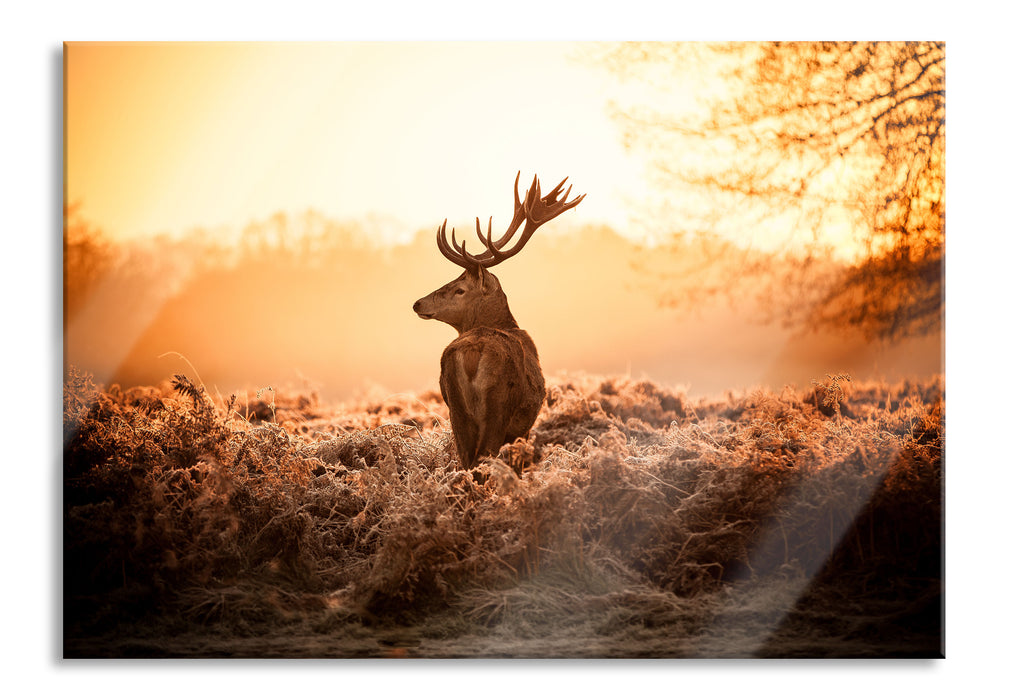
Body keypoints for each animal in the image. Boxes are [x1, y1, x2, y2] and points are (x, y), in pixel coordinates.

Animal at [411, 172, 585, 480]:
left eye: (459, 289)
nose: (418, 303)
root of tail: (472, 352)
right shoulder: (523, 427)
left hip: (456, 409)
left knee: (467, 460)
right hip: (498, 406)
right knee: (483, 459)